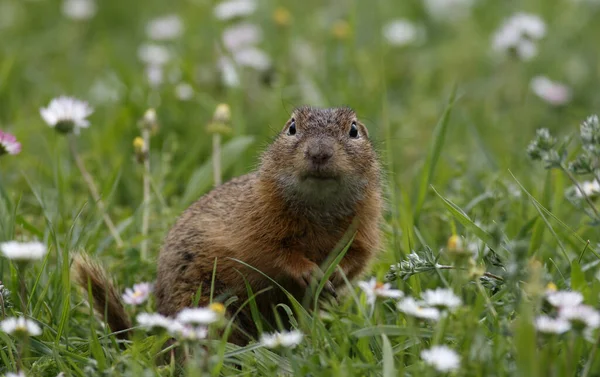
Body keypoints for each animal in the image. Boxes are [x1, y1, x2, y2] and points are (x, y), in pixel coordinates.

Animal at [75, 106, 382, 344]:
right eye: (292, 127)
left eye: (354, 129)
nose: (319, 153)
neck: (320, 207)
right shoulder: (257, 225)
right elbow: (275, 254)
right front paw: (309, 272)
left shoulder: (364, 230)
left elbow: (357, 258)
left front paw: (335, 273)